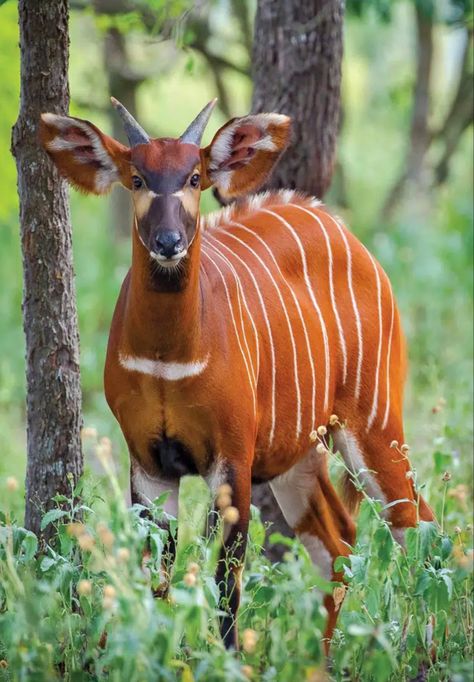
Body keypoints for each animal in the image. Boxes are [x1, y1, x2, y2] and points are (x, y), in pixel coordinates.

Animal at [39, 98, 434, 644]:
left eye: (195, 176)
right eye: (137, 178)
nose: (168, 241)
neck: (169, 358)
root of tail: (350, 236)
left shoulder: (233, 458)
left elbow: (227, 584)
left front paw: (226, 657)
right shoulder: (148, 461)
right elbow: (157, 575)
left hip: (374, 422)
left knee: (416, 530)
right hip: (300, 456)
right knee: (338, 543)